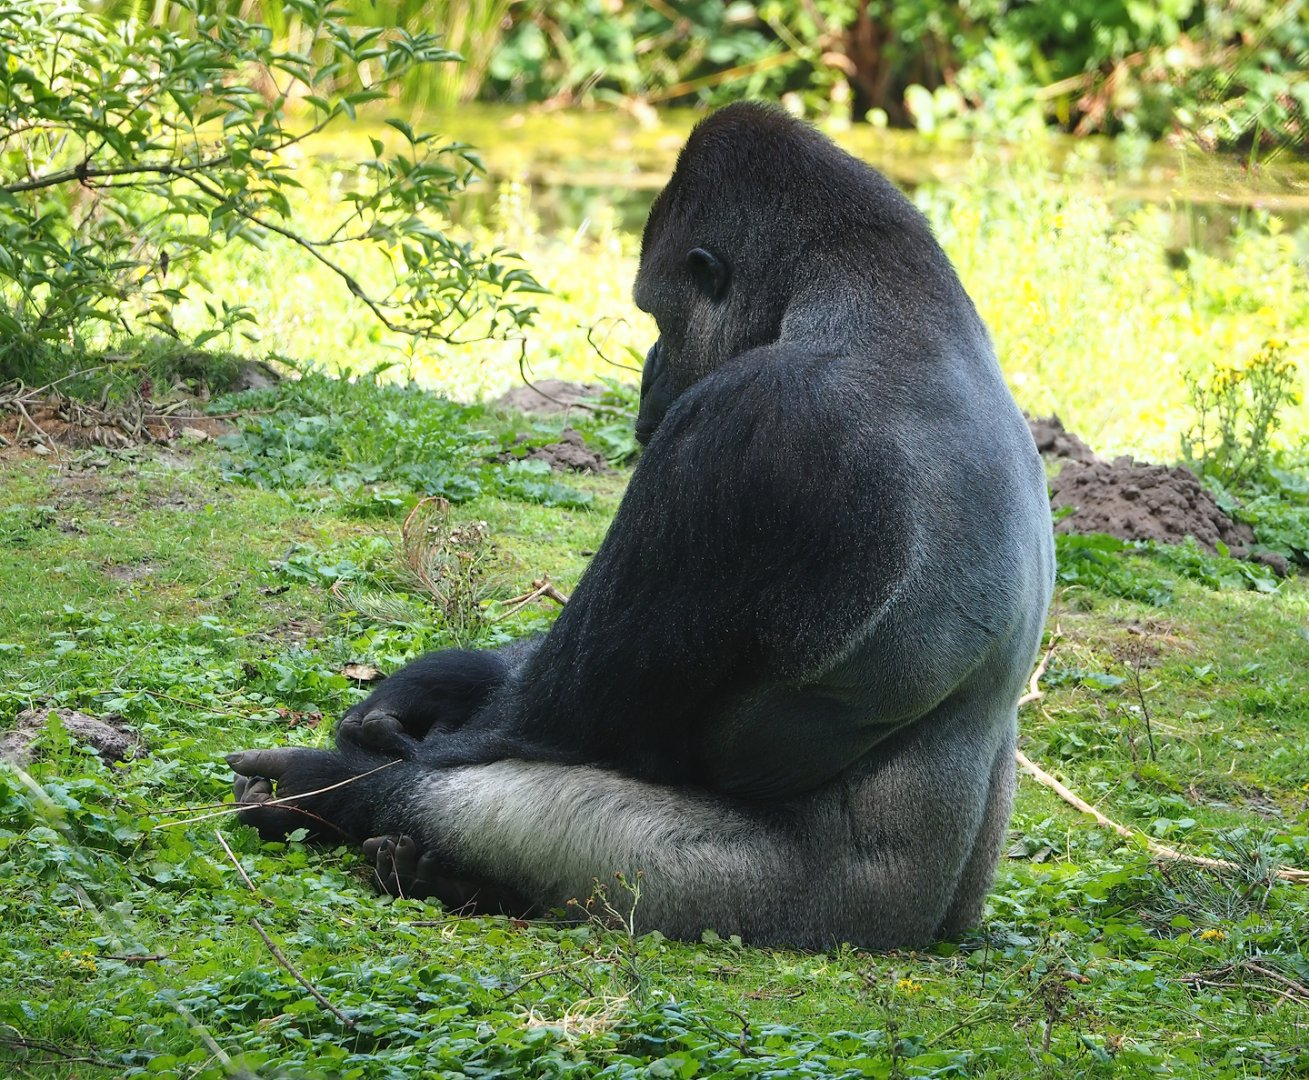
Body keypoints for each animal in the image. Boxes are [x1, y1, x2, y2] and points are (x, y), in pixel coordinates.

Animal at [229, 102, 1054, 951]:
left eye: (657, 315)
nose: (650, 372)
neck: (894, 302)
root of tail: (924, 930)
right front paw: (434, 681)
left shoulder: (744, 421)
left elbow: (561, 721)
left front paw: (342, 771)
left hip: (766, 909)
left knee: (487, 801)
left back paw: (350, 806)